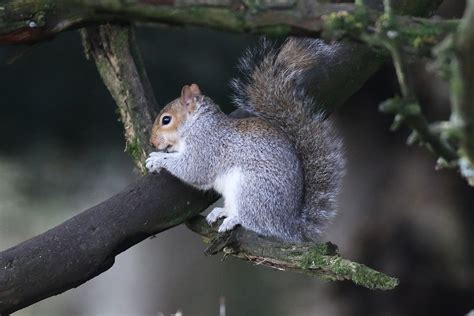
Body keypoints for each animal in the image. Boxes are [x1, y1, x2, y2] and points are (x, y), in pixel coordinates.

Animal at [144, 37, 344, 242]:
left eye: (166, 120)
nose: (152, 142)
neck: (198, 124)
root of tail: (289, 225)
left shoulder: (207, 145)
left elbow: (194, 169)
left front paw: (158, 159)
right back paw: (221, 212)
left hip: (251, 190)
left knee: (257, 223)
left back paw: (234, 220)